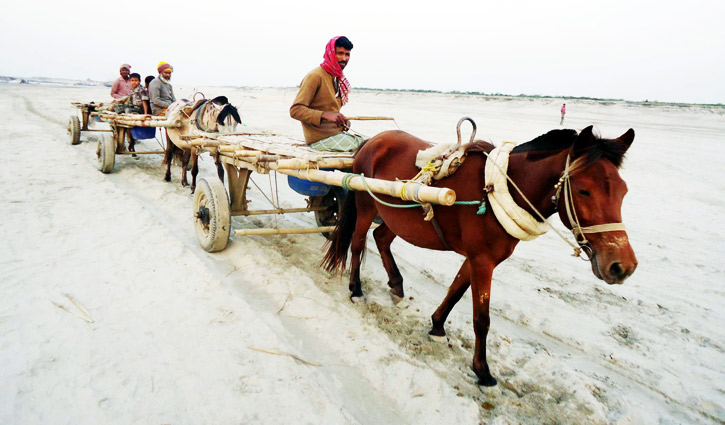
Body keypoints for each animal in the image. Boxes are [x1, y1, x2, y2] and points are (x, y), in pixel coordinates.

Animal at [320, 124, 636, 386]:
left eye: (624, 191)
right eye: (583, 191)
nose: (623, 266)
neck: (498, 189)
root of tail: (373, 140)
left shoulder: (478, 258)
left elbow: (456, 290)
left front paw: (437, 325)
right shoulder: (483, 261)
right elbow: (481, 318)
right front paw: (482, 370)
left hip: (396, 215)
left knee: (381, 239)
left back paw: (396, 285)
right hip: (366, 206)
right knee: (358, 244)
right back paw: (356, 289)